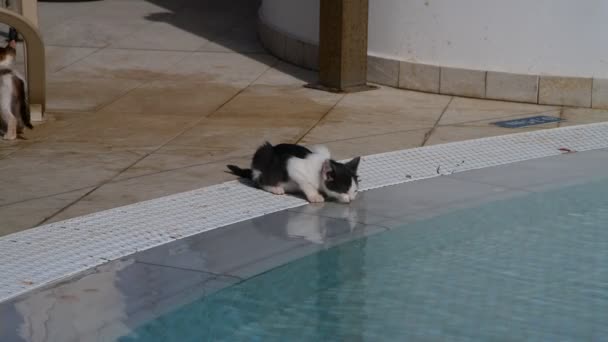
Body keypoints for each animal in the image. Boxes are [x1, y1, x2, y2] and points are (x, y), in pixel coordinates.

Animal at [228, 142, 360, 203]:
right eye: (344, 190)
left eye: (355, 191)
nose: (352, 199)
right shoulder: (292, 164)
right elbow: (306, 183)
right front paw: (315, 196)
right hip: (264, 153)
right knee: (259, 181)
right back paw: (275, 188)